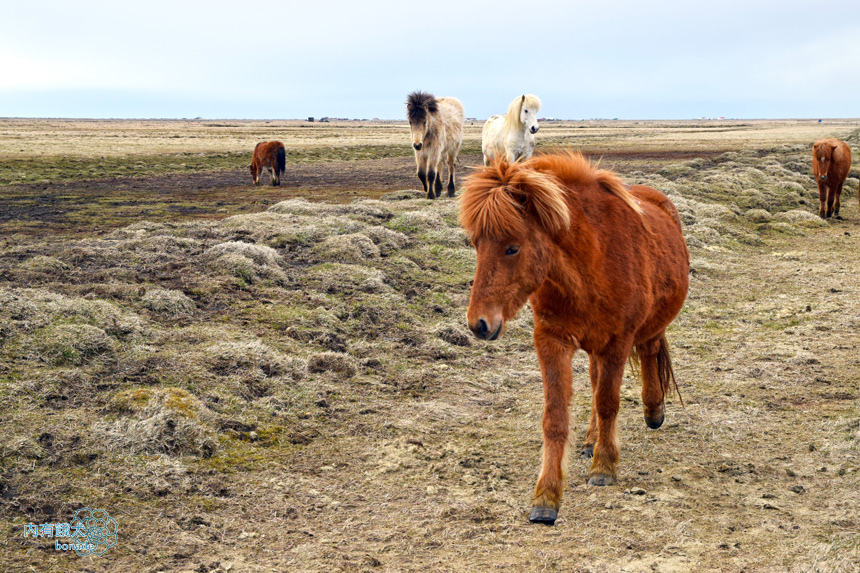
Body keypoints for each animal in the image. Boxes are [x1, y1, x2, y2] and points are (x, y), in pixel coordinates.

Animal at [460, 151, 688, 524]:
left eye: (512, 248)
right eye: (476, 244)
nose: (478, 324)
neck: (590, 261)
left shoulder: (618, 342)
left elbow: (609, 402)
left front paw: (604, 466)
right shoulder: (552, 341)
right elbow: (556, 418)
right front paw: (546, 497)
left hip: (641, 331)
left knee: (649, 349)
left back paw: (653, 410)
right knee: (597, 381)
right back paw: (589, 440)